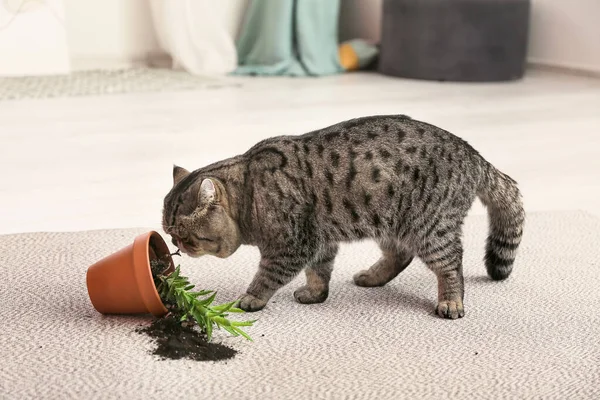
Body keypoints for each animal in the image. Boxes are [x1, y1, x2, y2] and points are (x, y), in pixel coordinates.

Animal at [162, 115, 524, 318]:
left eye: (185, 236)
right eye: (169, 234)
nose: (175, 246)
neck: (250, 190)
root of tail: (476, 155)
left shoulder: (292, 245)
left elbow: (267, 277)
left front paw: (251, 298)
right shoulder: (319, 240)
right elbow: (318, 273)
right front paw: (315, 295)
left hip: (430, 228)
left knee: (451, 265)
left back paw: (450, 302)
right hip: (392, 224)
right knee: (401, 255)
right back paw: (372, 277)